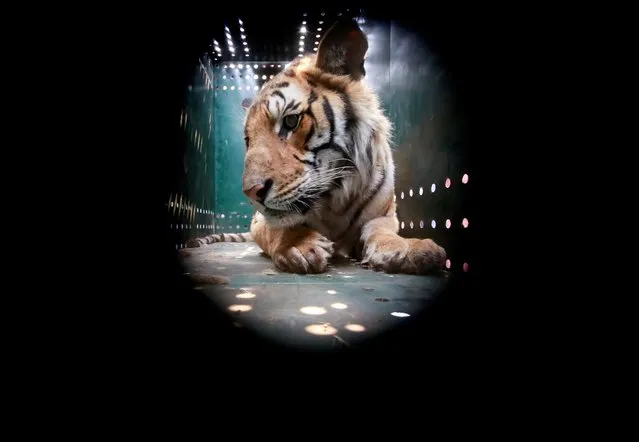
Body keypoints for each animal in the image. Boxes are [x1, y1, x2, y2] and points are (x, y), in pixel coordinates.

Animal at [185, 19, 444, 274]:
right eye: (249, 140)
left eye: (290, 121)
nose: (252, 192)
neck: (334, 200)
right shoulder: (261, 220)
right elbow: (277, 226)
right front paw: (298, 246)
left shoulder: (386, 212)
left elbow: (381, 229)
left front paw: (409, 248)